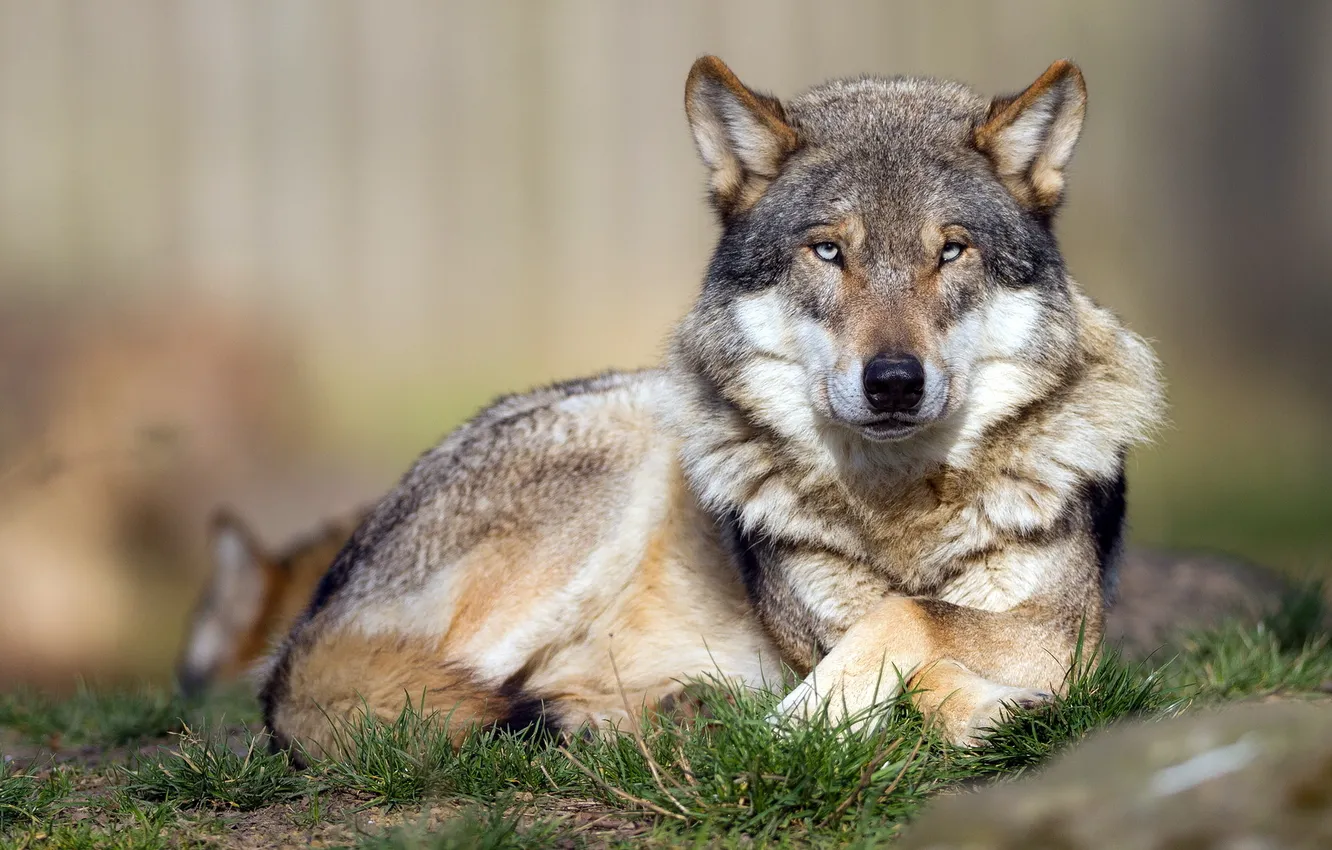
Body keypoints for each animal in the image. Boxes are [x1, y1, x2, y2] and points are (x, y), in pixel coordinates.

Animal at [261, 56, 1165, 758]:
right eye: (828, 251)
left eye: (951, 252)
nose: (894, 382)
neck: (898, 506)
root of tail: (315, 615)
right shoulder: (821, 630)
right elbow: (906, 630)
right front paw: (817, 719)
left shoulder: (1067, 630)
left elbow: (912, 621)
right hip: (616, 463)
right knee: (391, 702)